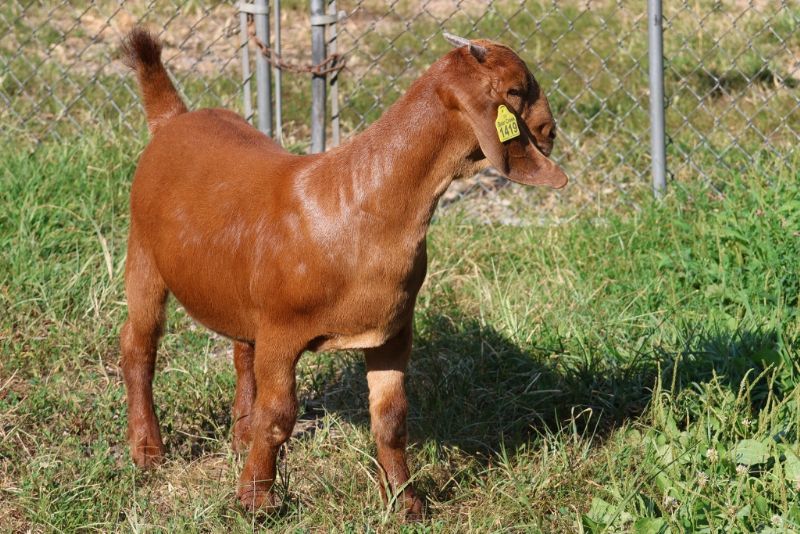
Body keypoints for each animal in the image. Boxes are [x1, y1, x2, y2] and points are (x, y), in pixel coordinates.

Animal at [119, 27, 567, 516]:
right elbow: (278, 416)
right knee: (138, 345)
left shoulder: (392, 330)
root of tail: (173, 119)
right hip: (143, 257)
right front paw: (256, 498)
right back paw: (148, 451)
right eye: (517, 90)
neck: (357, 206)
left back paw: (239, 438)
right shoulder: (281, 331)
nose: (550, 131)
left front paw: (405, 501)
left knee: (240, 351)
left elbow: (391, 419)